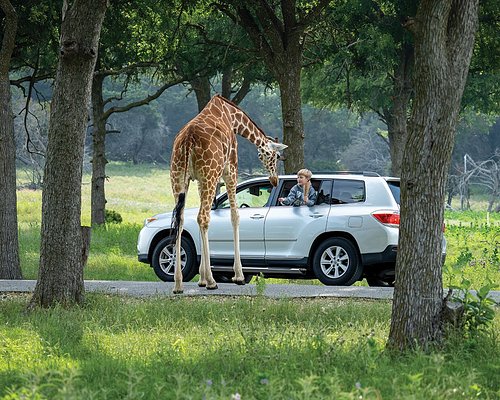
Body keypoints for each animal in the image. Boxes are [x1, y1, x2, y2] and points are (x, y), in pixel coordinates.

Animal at [169, 94, 288, 294]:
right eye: (274, 156)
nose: (274, 180)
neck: (232, 117)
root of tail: (188, 140)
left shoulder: (200, 180)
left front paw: (201, 279)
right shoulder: (230, 169)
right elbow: (235, 215)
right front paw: (238, 276)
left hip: (178, 178)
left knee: (181, 219)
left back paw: (178, 284)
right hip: (209, 174)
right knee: (202, 217)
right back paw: (212, 282)